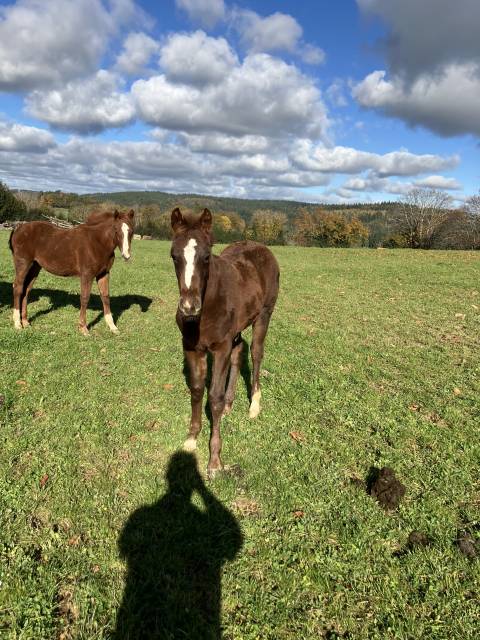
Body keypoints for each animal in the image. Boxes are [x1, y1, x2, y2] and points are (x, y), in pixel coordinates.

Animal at [170, 207, 280, 476]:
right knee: (239, 351)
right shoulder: (192, 346)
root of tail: (261, 247)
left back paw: (254, 405)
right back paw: (232, 404)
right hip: (236, 329)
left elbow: (214, 397)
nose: (189, 307)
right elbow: (197, 390)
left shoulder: (220, 348)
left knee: (256, 353)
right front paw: (191, 439)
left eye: (206, 256)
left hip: (264, 314)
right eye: (174, 256)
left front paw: (214, 460)